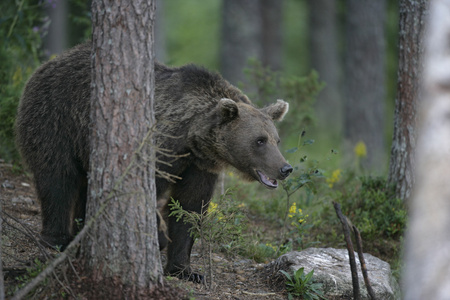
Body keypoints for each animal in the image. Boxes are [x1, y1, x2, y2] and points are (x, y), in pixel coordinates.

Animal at [15, 41, 292, 282]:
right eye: (259, 140)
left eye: (276, 140)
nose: (285, 168)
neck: (192, 138)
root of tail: (50, 62)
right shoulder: (158, 149)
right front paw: (158, 237)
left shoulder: (200, 166)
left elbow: (189, 208)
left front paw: (185, 270)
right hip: (55, 119)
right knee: (57, 178)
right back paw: (57, 238)